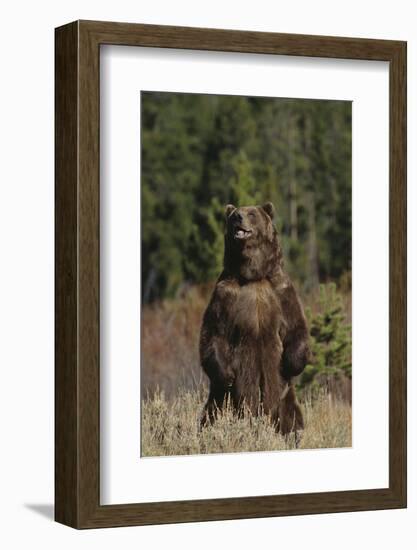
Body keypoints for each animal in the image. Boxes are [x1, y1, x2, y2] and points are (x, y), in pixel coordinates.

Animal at [198, 204, 308, 440]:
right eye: (233, 215)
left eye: (251, 214)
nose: (238, 217)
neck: (253, 276)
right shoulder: (225, 294)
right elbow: (213, 334)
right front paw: (228, 375)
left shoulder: (280, 290)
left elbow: (296, 327)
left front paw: (291, 363)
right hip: (223, 398)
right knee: (211, 415)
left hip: (283, 395)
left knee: (292, 416)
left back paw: (291, 434)